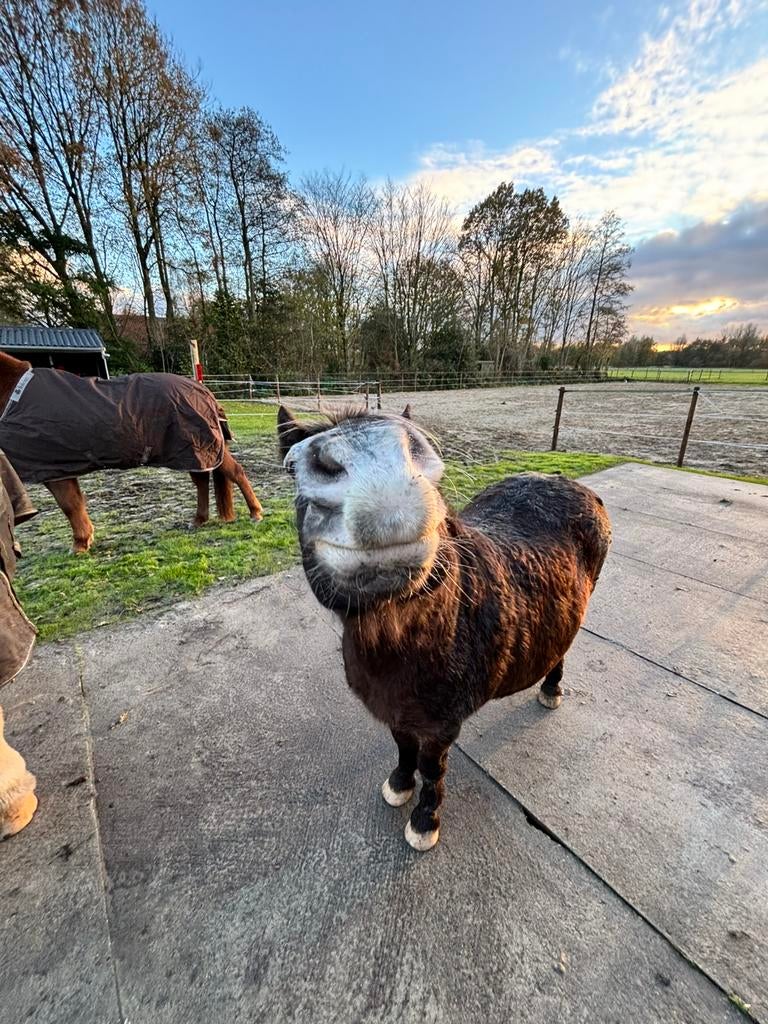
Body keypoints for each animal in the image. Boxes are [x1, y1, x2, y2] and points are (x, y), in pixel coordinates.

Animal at [0, 351, 262, 553]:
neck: (15, 393)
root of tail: (203, 390)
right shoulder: (61, 468)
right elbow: (75, 503)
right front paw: (85, 539)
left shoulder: (53, 469)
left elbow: (70, 505)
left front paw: (80, 544)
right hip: (192, 453)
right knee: (202, 481)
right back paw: (199, 519)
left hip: (200, 447)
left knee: (235, 472)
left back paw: (256, 512)